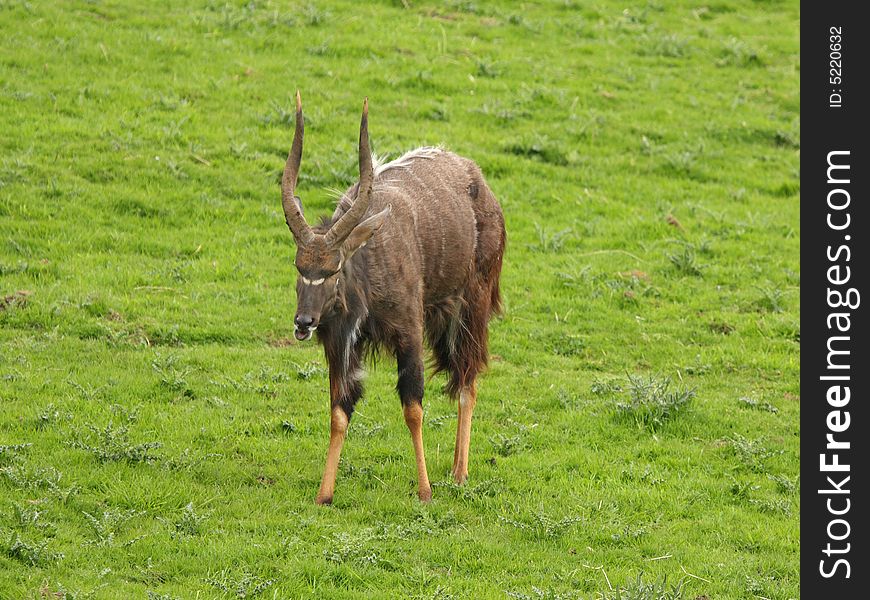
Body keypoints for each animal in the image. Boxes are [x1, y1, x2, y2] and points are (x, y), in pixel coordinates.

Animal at [282, 92, 508, 506]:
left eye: (334, 269)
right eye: (299, 267)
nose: (303, 323)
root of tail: (478, 180)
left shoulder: (409, 333)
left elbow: (413, 407)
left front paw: (424, 490)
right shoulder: (341, 345)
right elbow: (339, 411)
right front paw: (324, 494)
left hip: (473, 305)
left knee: (468, 378)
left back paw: (460, 472)